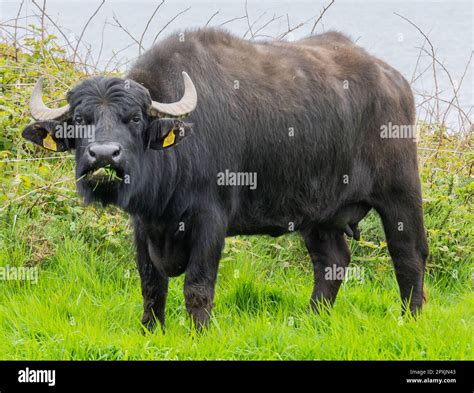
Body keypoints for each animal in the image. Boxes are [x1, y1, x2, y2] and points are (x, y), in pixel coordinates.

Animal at [22, 27, 430, 330]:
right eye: (80, 120)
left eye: (135, 118)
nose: (105, 155)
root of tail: (394, 81)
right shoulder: (142, 224)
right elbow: (151, 286)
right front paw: (150, 330)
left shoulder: (210, 220)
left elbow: (197, 286)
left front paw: (199, 333)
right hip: (320, 212)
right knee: (331, 261)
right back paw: (312, 320)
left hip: (400, 192)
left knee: (409, 254)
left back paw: (409, 319)